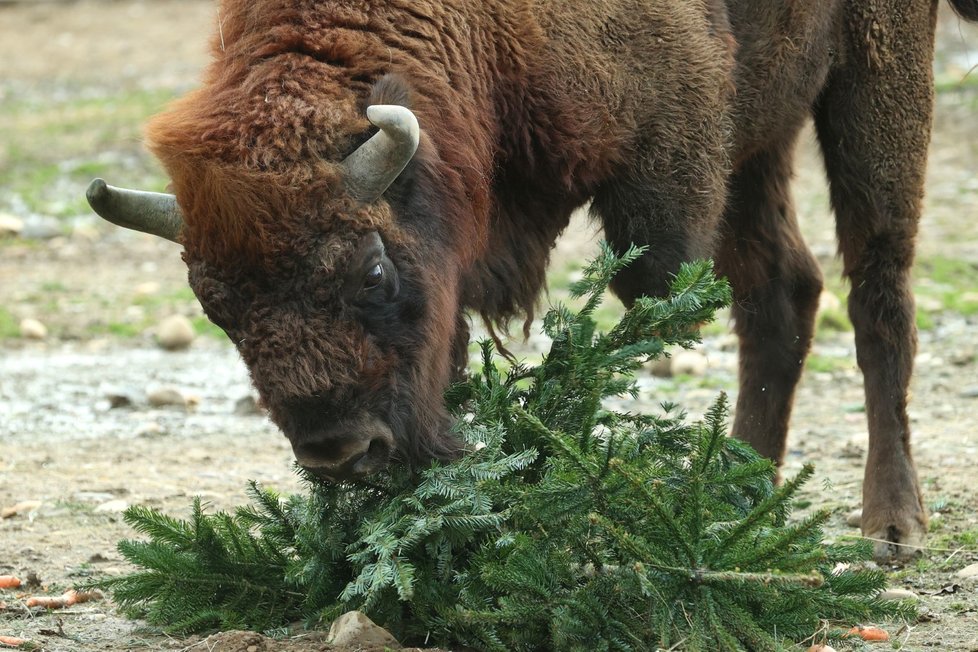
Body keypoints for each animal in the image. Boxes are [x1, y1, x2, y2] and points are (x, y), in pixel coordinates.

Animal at [87, 1, 976, 560]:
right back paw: (736, 493)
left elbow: (656, 289)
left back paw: (891, 527)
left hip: (872, 84)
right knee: (782, 296)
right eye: (217, 308)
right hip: (764, 134)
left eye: (371, 268)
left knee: (879, 293)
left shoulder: (671, 147)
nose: (341, 451)